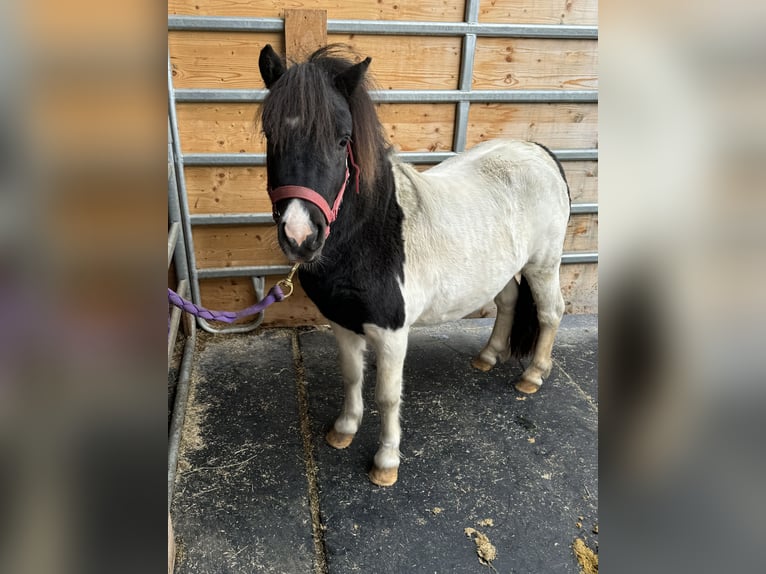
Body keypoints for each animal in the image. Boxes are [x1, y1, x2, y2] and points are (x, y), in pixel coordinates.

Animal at [258, 45, 568, 488]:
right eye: (271, 135)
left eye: (342, 140)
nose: (300, 237)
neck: (371, 236)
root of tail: (539, 151)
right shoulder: (343, 323)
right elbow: (351, 376)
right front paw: (343, 430)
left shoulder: (391, 333)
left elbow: (388, 396)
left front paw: (386, 462)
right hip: (504, 269)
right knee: (508, 303)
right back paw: (488, 356)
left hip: (543, 265)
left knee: (550, 312)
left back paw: (533, 375)